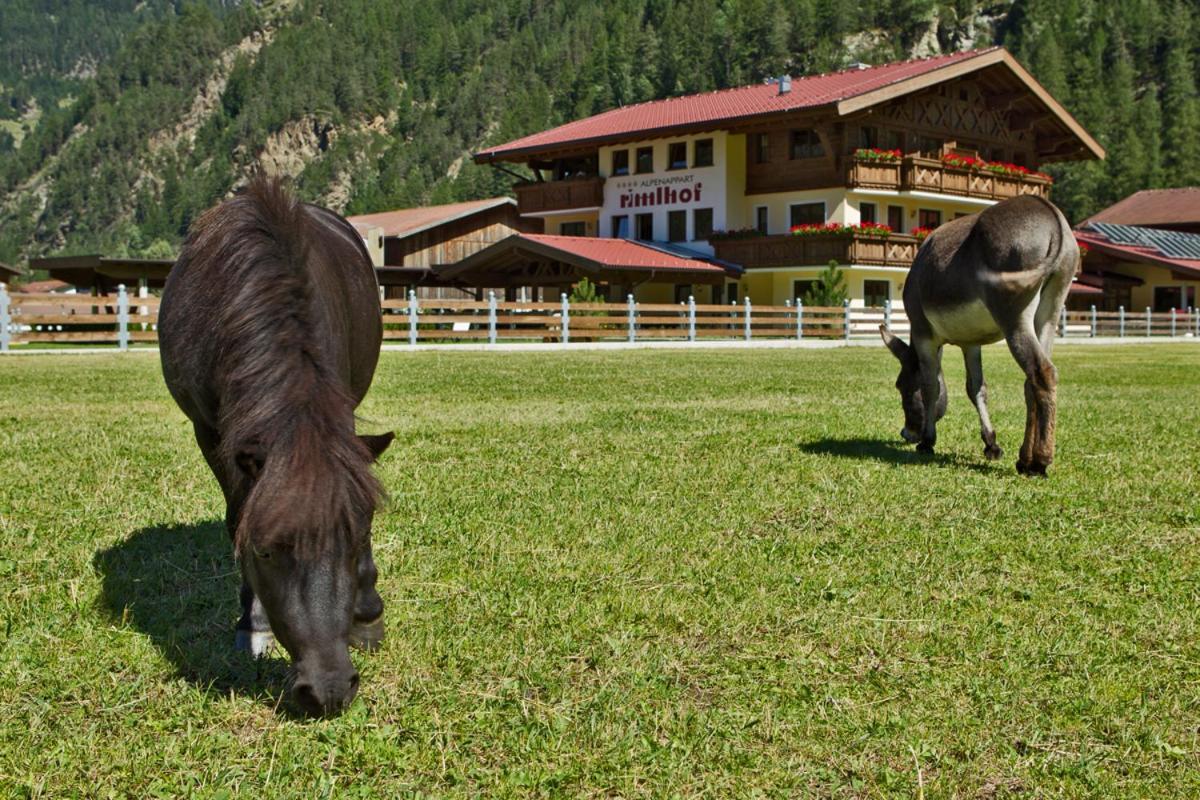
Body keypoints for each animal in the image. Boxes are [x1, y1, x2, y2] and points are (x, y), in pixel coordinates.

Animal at [158, 178, 393, 714]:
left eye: (355, 541)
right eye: (264, 553)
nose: (329, 690)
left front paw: (366, 615)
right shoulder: (212, 434)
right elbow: (238, 517)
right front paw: (255, 626)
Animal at [883, 195, 1080, 474]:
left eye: (900, 386)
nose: (906, 434)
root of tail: (1051, 216)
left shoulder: (924, 336)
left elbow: (931, 386)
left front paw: (928, 442)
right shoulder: (971, 343)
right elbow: (975, 387)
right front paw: (991, 445)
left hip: (1014, 317)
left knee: (1043, 373)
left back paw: (1040, 461)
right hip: (1049, 313)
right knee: (1031, 381)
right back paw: (1024, 459)